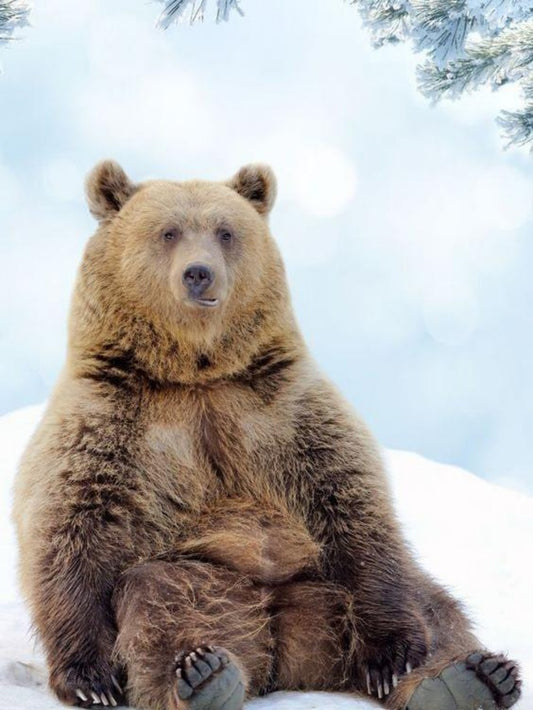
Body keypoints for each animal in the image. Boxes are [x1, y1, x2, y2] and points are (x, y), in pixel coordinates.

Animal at [12, 160, 521, 710]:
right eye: (167, 231)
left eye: (226, 231)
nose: (199, 273)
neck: (196, 373)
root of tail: (286, 652)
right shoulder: (110, 421)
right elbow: (71, 527)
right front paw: (91, 678)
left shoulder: (285, 410)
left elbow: (354, 505)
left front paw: (393, 656)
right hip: (210, 581)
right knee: (162, 600)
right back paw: (205, 676)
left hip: (322, 586)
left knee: (431, 603)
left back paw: (471, 676)